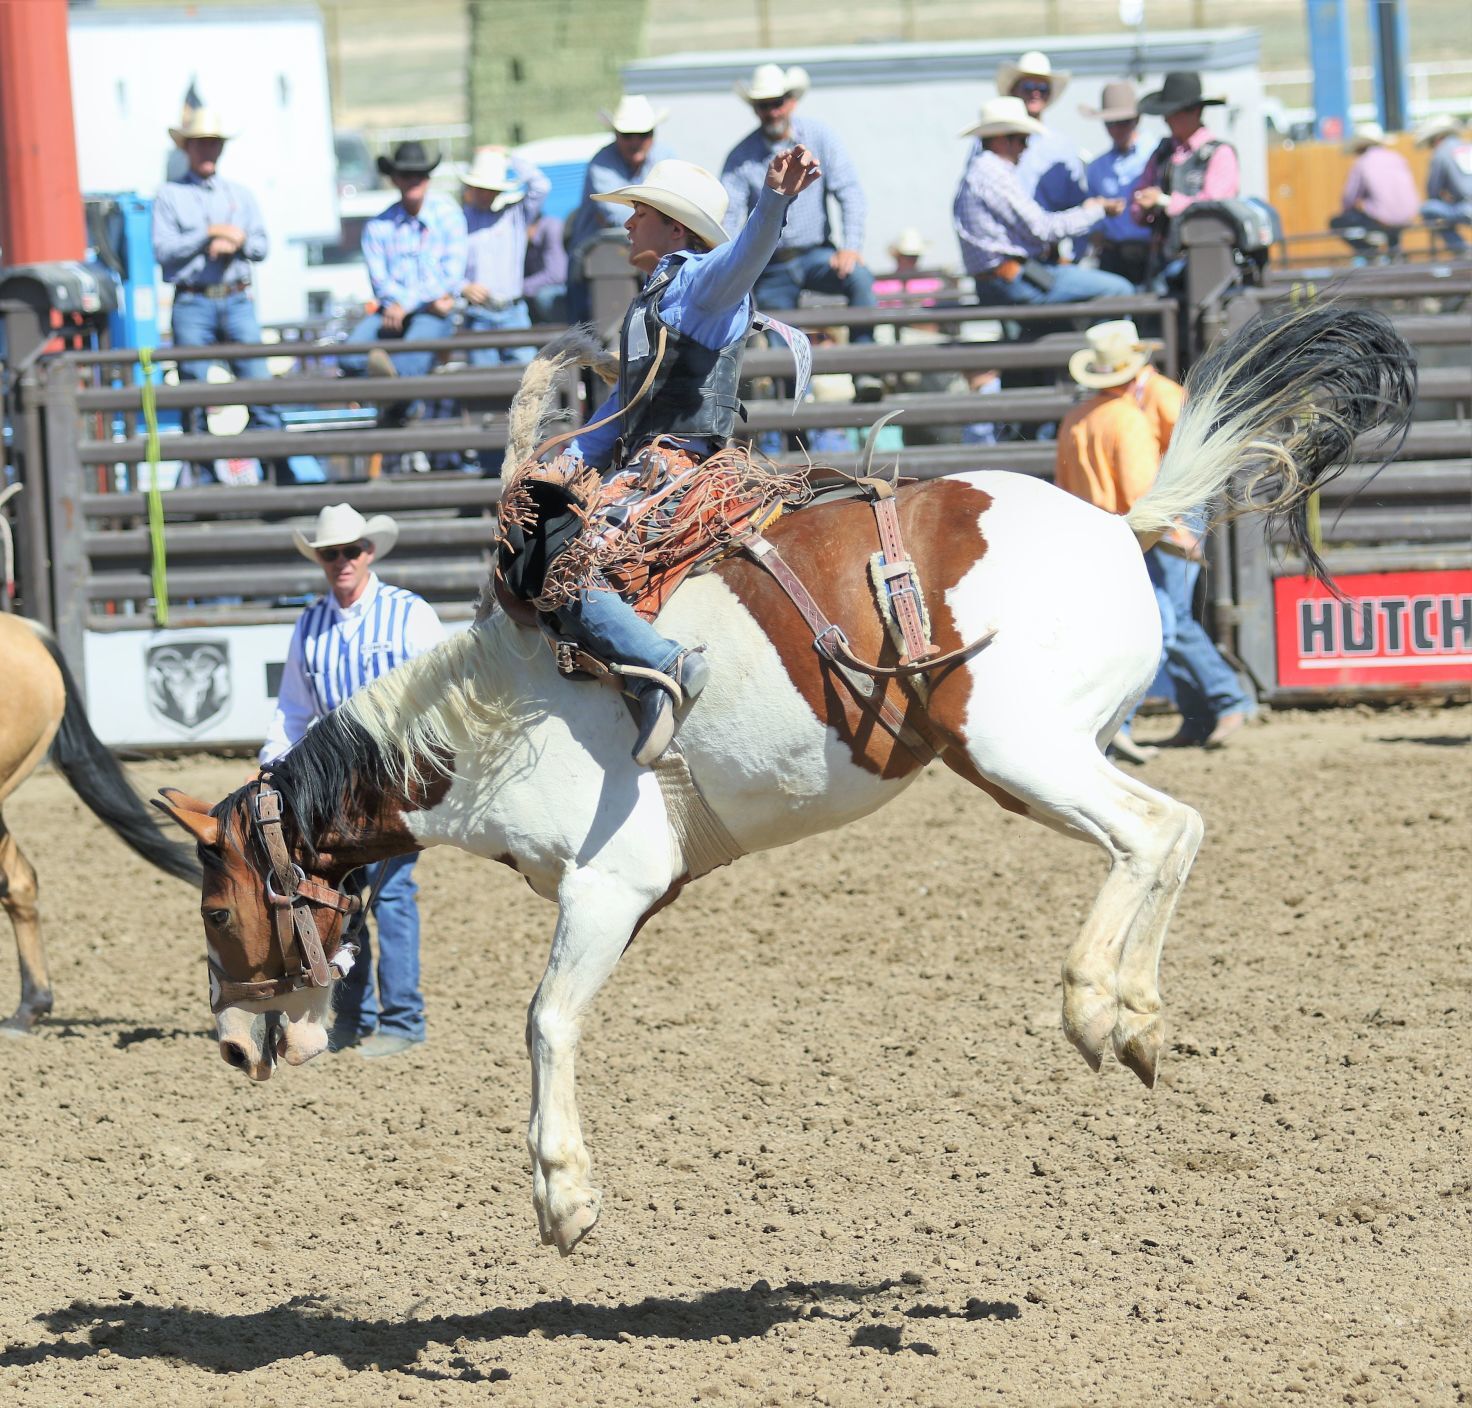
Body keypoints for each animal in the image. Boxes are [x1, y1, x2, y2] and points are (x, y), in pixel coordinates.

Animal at [158, 307, 1413, 1253]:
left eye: (215, 909)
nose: (230, 1045)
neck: (482, 722)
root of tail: (1120, 524)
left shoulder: (610, 882)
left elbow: (547, 1018)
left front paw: (562, 1196)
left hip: (1016, 749)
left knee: (1152, 832)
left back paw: (1096, 1007)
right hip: (1034, 759)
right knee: (1168, 830)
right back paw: (1140, 1019)